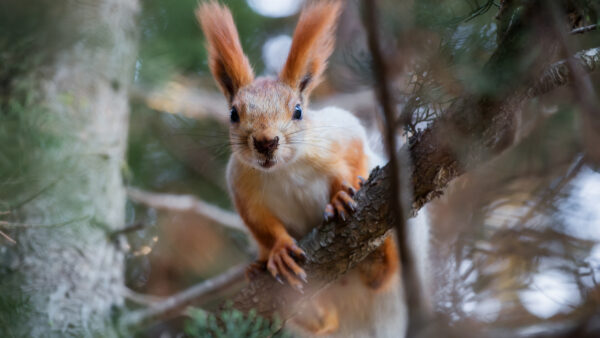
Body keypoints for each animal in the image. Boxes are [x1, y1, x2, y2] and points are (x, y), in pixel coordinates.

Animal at [196, 0, 398, 336]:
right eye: (234, 114)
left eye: (298, 111)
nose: (266, 142)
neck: (284, 170)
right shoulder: (242, 189)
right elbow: (261, 224)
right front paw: (279, 251)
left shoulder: (343, 135)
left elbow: (351, 160)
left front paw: (341, 196)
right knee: (324, 322)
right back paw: (261, 272)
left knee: (383, 276)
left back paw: (380, 256)